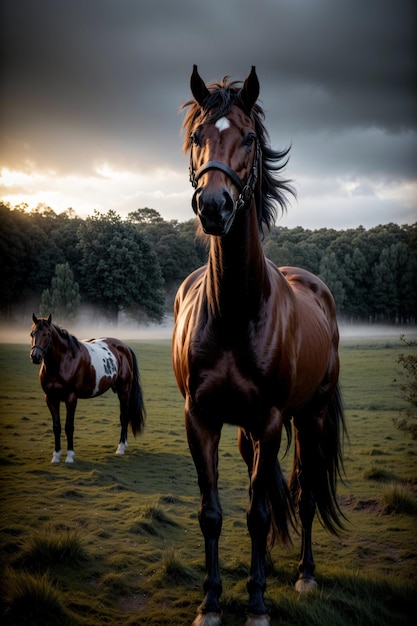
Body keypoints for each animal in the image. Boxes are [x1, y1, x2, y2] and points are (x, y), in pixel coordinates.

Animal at [30, 314, 145, 460]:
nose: (35, 356)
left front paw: (70, 456)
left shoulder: (71, 398)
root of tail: (125, 347)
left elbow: (69, 426)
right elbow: (56, 426)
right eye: (32, 333)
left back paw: (121, 447)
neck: (63, 361)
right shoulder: (51, 398)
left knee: (124, 417)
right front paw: (56, 455)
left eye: (47, 334)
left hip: (123, 390)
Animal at [171, 66, 346, 620]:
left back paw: (303, 574)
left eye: (248, 137)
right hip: (249, 432)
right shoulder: (201, 419)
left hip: (308, 417)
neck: (234, 310)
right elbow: (213, 512)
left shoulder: (271, 420)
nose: (214, 205)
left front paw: (256, 604)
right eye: (197, 137)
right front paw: (210, 601)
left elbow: (258, 513)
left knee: (304, 496)